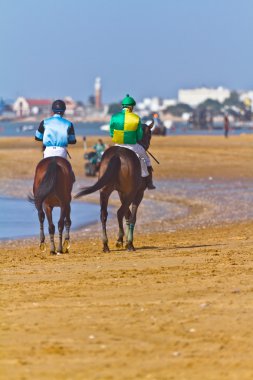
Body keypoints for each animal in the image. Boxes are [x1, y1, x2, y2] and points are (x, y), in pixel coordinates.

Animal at [75, 122, 154, 252]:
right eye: (149, 134)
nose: (146, 145)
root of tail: (117, 155)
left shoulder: (122, 193)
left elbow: (127, 215)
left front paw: (125, 241)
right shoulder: (138, 193)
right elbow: (132, 216)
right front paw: (129, 243)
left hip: (104, 191)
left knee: (104, 214)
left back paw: (105, 244)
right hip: (130, 192)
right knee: (119, 212)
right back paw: (123, 242)